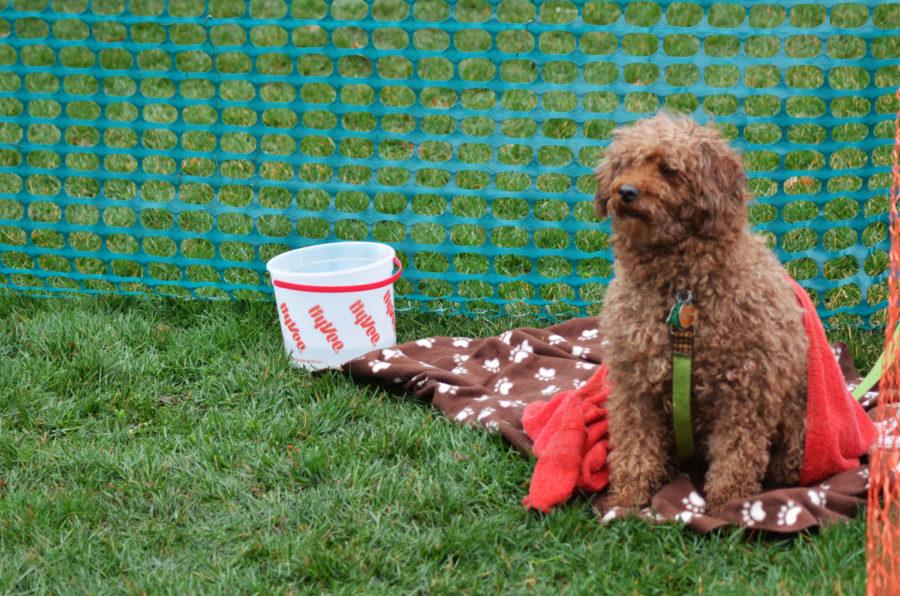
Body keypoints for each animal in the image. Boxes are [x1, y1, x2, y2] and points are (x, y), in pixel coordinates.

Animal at [592, 113, 808, 512]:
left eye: (669, 170)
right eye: (625, 164)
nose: (625, 191)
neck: (681, 289)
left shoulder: (746, 391)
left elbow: (737, 457)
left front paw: (728, 507)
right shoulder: (635, 385)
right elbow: (634, 445)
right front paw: (627, 497)